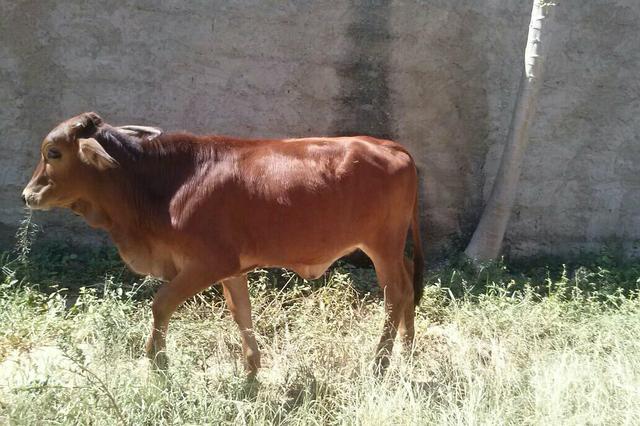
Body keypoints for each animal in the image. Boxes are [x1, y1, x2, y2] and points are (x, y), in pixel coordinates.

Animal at [22, 112, 424, 376]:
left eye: (52, 152)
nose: (27, 195)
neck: (168, 183)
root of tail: (392, 147)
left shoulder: (206, 264)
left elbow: (160, 304)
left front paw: (157, 361)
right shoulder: (232, 269)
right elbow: (241, 314)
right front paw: (251, 371)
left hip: (382, 245)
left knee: (394, 294)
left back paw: (380, 362)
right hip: (390, 247)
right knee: (407, 283)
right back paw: (407, 350)